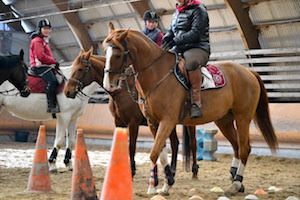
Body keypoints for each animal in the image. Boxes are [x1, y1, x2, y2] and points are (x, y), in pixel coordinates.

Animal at [63, 48, 199, 178]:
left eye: (80, 69)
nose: (67, 91)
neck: (122, 90)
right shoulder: (118, 123)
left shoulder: (133, 124)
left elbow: (131, 146)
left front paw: (132, 170)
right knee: (175, 143)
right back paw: (172, 170)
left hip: (186, 123)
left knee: (193, 143)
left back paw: (194, 170)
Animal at [102, 28, 278, 196]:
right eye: (106, 53)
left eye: (117, 54)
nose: (108, 84)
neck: (157, 74)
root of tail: (249, 72)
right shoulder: (153, 124)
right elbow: (161, 153)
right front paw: (167, 184)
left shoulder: (167, 122)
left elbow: (154, 152)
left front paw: (153, 187)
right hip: (224, 121)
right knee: (237, 146)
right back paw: (236, 180)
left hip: (243, 118)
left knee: (244, 148)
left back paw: (236, 183)